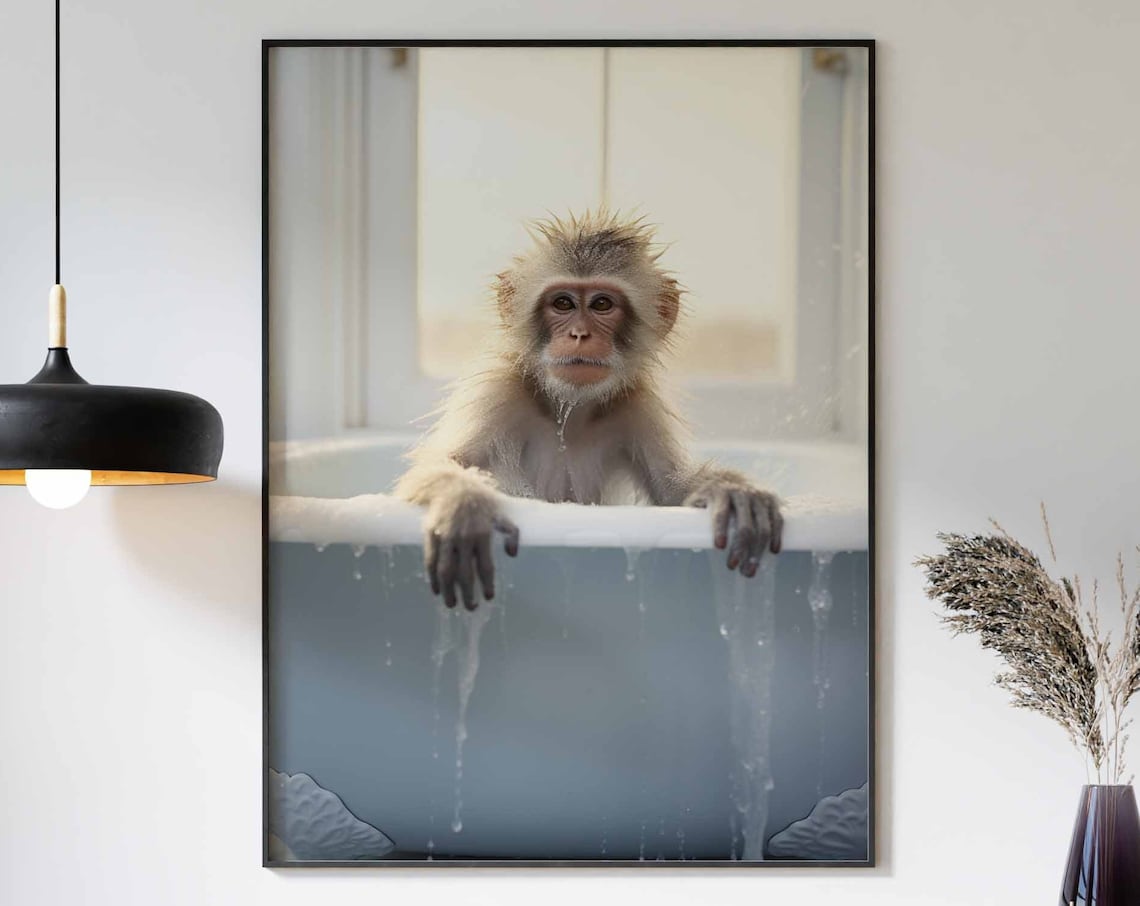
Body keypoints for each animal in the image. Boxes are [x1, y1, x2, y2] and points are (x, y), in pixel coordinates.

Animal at [395, 210, 783, 610]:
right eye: (563, 304)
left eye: (601, 305)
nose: (580, 334)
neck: (568, 407)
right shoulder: (498, 392)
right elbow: (440, 464)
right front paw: (464, 502)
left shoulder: (637, 407)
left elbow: (673, 492)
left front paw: (731, 491)